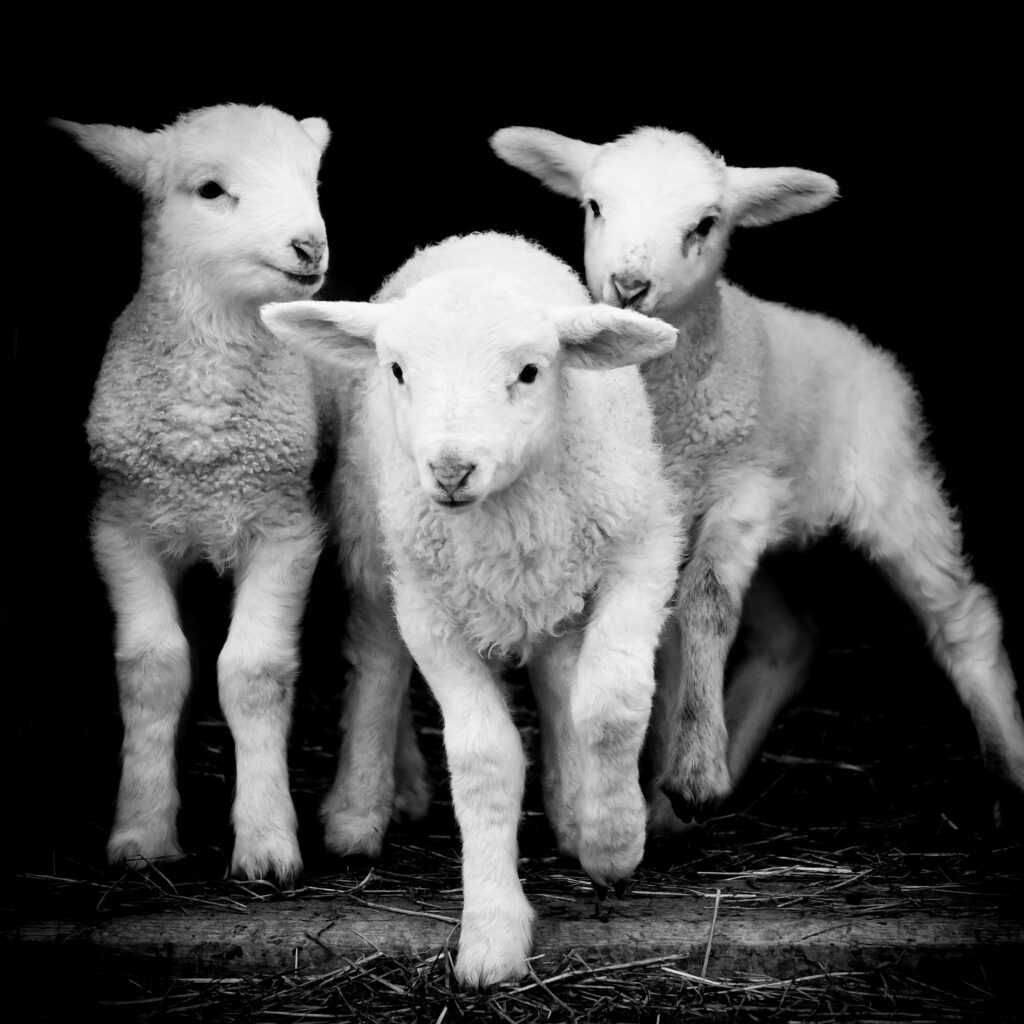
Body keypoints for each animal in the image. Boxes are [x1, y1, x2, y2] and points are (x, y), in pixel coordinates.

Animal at [50, 103, 335, 884]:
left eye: (310, 179)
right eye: (211, 190)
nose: (309, 246)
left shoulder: (285, 526)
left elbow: (254, 671)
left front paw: (267, 842)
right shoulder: (122, 526)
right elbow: (152, 667)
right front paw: (142, 831)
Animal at [261, 230, 683, 986]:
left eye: (530, 371)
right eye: (398, 370)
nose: (451, 470)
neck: (504, 513)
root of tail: (475, 239)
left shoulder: (643, 552)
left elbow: (609, 703)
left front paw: (611, 841)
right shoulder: (430, 614)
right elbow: (483, 758)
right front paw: (491, 934)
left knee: (557, 673)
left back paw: (572, 806)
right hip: (376, 547)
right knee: (377, 661)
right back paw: (360, 810)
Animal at [490, 126, 1024, 830]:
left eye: (706, 223)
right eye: (595, 205)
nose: (629, 283)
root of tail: (858, 343)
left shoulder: (746, 490)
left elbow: (706, 601)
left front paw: (694, 773)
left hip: (892, 483)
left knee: (962, 619)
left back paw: (1009, 771)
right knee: (791, 639)